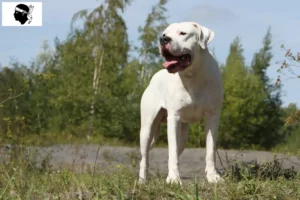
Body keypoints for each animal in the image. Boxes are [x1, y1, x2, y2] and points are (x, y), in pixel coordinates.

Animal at [138, 21, 223, 184]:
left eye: (183, 33)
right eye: (164, 34)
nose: (163, 39)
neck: (192, 75)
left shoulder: (213, 117)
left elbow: (210, 150)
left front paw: (213, 176)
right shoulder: (174, 118)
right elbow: (171, 152)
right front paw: (173, 179)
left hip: (183, 136)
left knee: (177, 150)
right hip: (146, 128)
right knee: (144, 158)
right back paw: (142, 180)